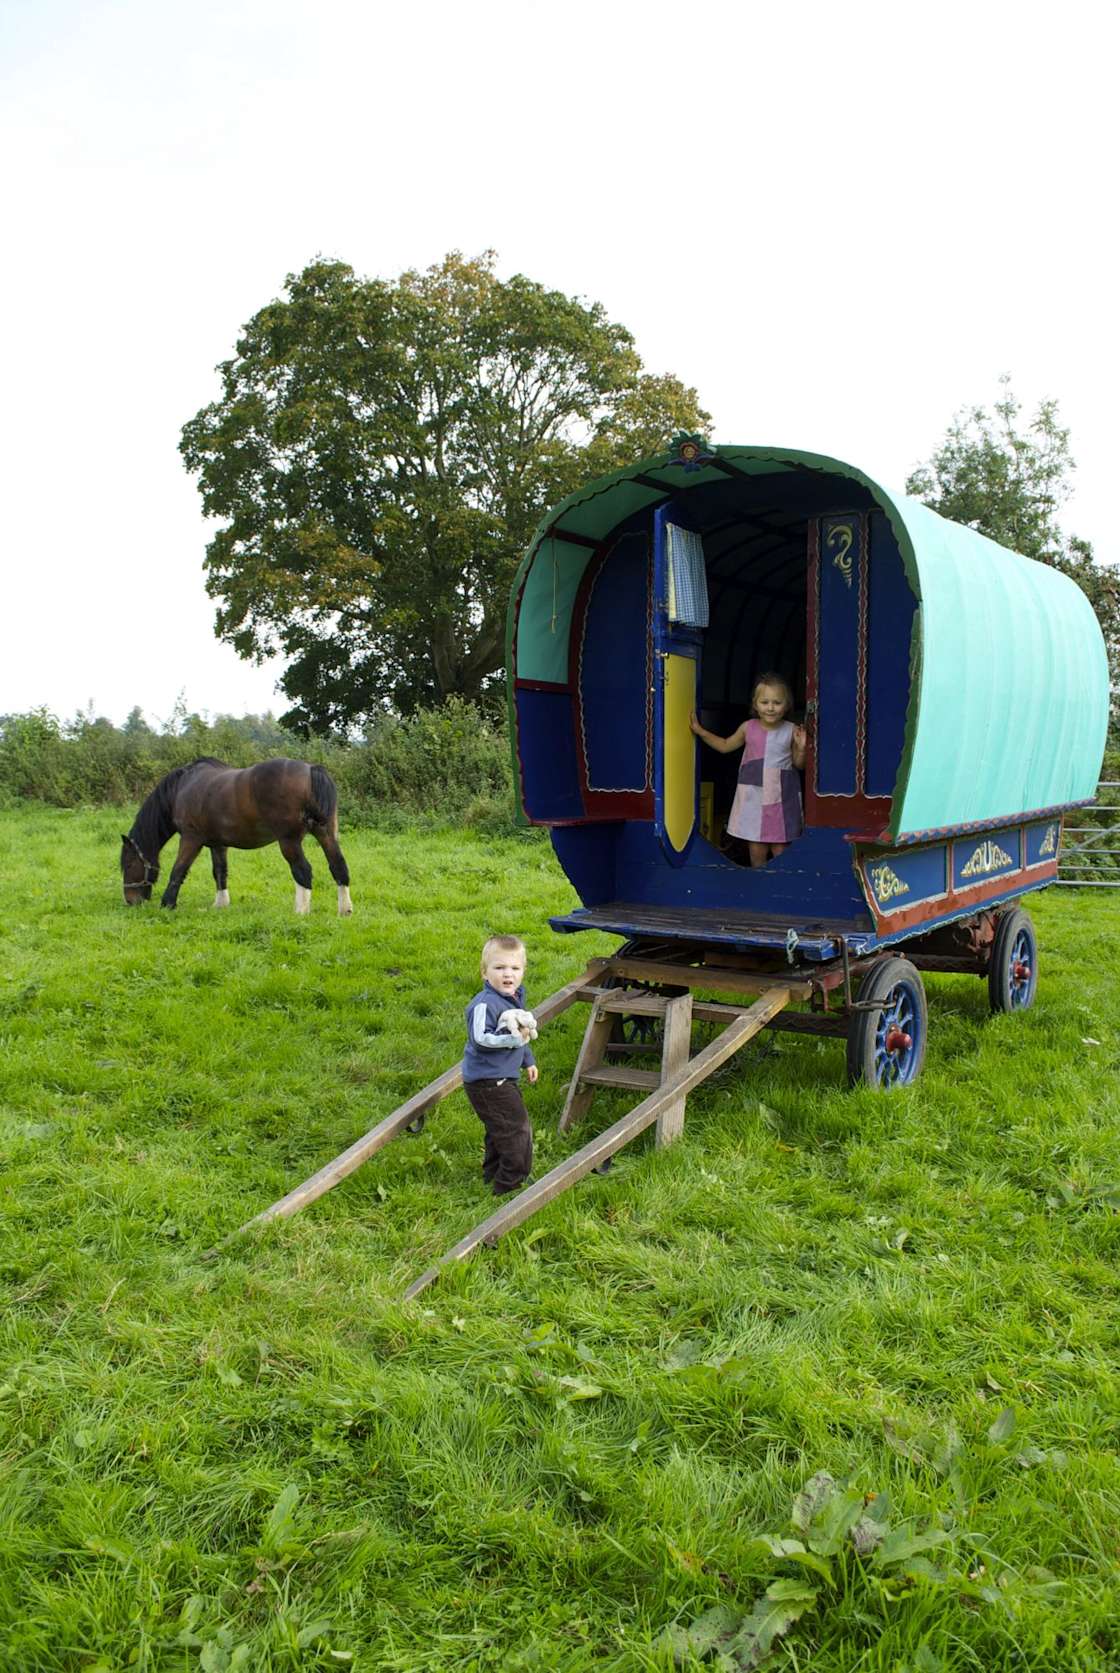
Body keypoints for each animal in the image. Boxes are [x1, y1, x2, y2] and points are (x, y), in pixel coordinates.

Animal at [120, 759, 351, 916]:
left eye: (129, 865)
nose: (130, 901)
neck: (182, 788)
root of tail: (311, 770)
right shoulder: (217, 844)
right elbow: (220, 872)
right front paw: (221, 904)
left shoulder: (190, 839)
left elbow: (179, 870)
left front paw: (168, 904)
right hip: (325, 833)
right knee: (338, 866)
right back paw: (345, 910)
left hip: (289, 841)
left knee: (303, 871)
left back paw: (301, 911)